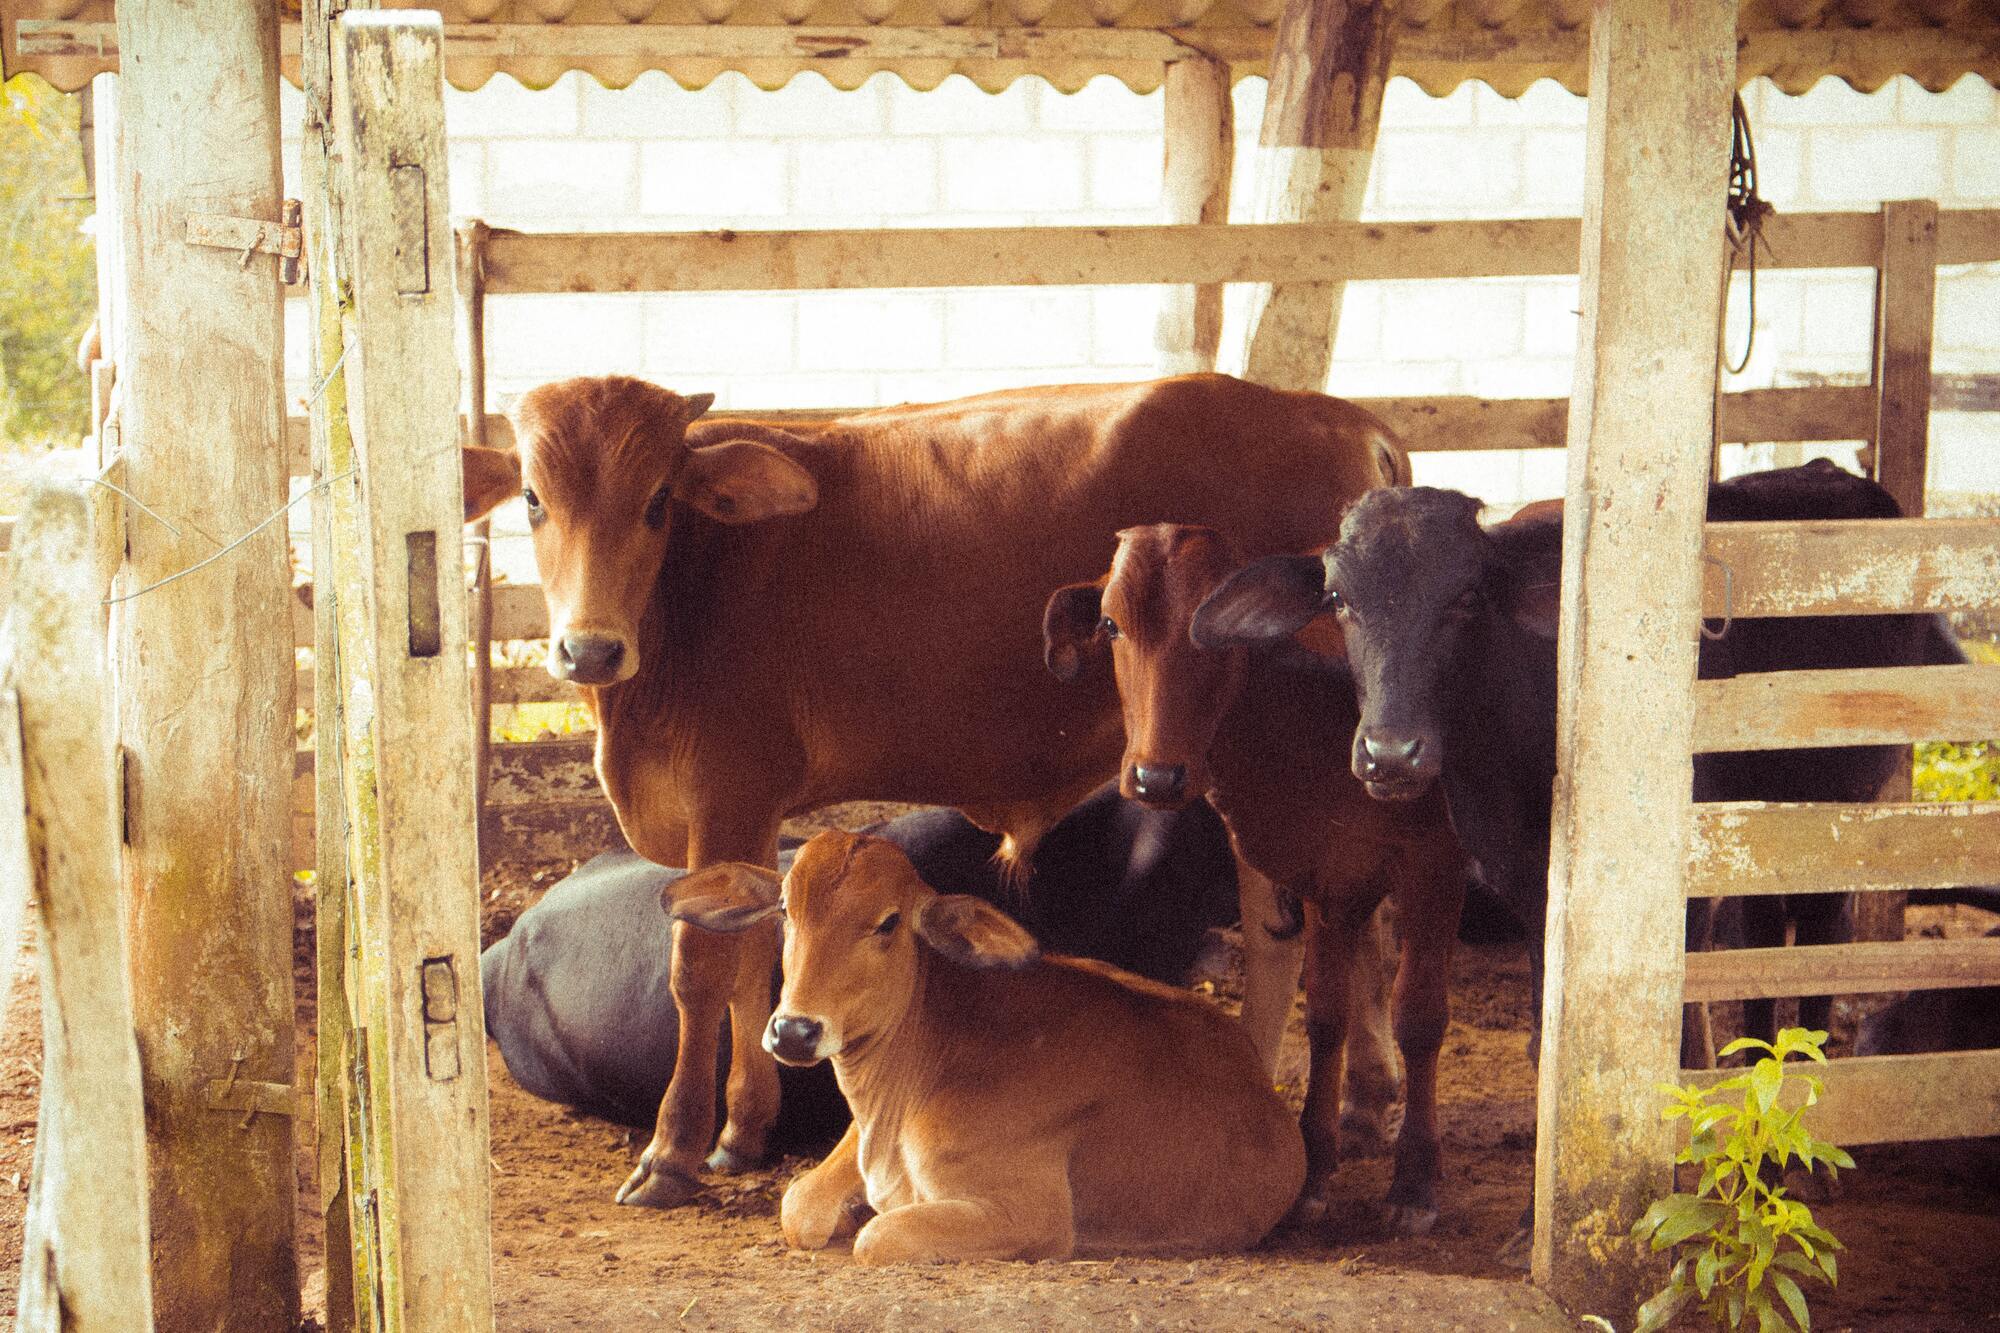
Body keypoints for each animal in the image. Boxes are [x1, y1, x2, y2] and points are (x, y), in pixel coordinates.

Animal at [664, 832, 1304, 1256]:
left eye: (889, 923)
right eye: (785, 910)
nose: (795, 1030)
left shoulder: (1031, 1215)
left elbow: (878, 1237)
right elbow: (798, 1207)